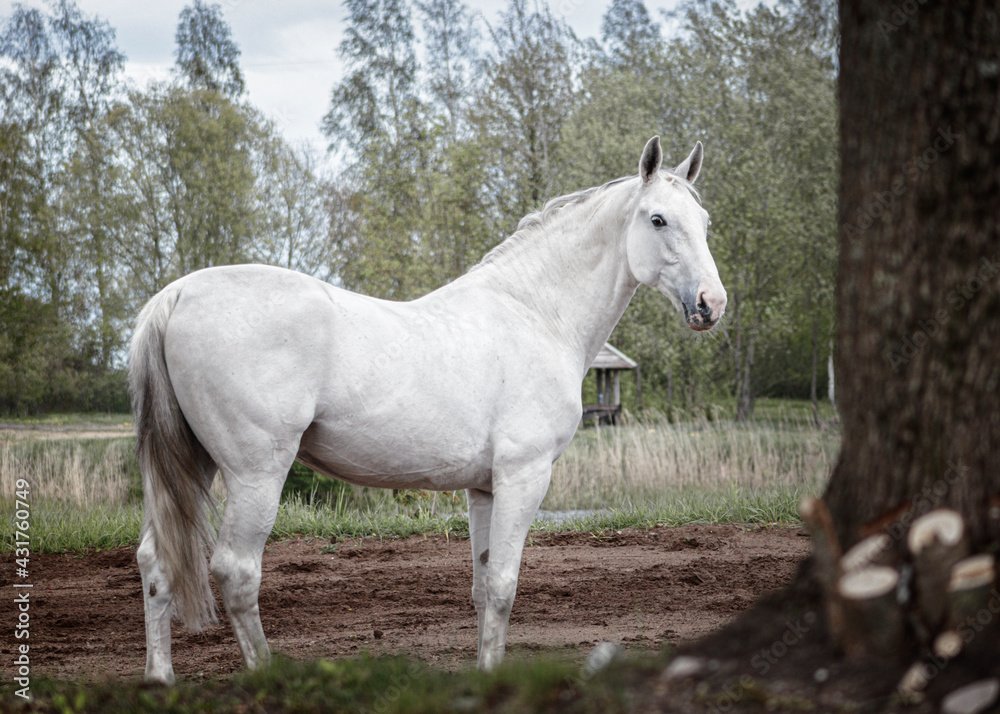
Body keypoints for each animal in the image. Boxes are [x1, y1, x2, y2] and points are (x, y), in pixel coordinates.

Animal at [131, 136, 728, 680]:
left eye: (704, 220)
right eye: (658, 219)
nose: (712, 304)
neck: (534, 313)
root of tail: (176, 295)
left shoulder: (484, 488)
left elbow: (484, 589)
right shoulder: (524, 477)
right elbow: (505, 586)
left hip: (196, 464)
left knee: (155, 563)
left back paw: (160, 678)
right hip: (256, 473)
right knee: (236, 572)